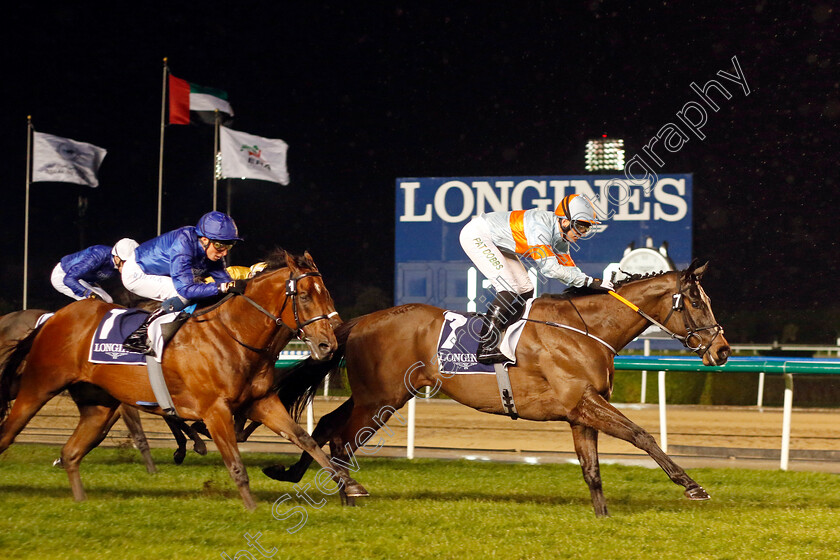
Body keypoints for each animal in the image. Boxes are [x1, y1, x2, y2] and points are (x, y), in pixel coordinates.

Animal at [0, 249, 368, 508]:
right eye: (304, 295)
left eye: (326, 292)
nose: (329, 344)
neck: (232, 334)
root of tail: (52, 318)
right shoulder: (215, 410)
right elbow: (235, 463)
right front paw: (251, 509)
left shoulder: (261, 402)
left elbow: (305, 439)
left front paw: (349, 485)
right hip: (38, 387)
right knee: (9, 433)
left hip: (98, 405)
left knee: (71, 452)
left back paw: (81, 501)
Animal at [262, 260, 728, 520]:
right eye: (697, 302)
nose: (722, 350)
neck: (586, 329)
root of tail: (359, 322)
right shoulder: (584, 401)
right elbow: (641, 435)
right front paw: (692, 486)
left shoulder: (581, 412)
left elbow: (592, 469)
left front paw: (603, 517)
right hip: (381, 399)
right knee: (341, 438)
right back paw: (347, 495)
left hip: (378, 397)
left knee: (327, 425)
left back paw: (296, 474)